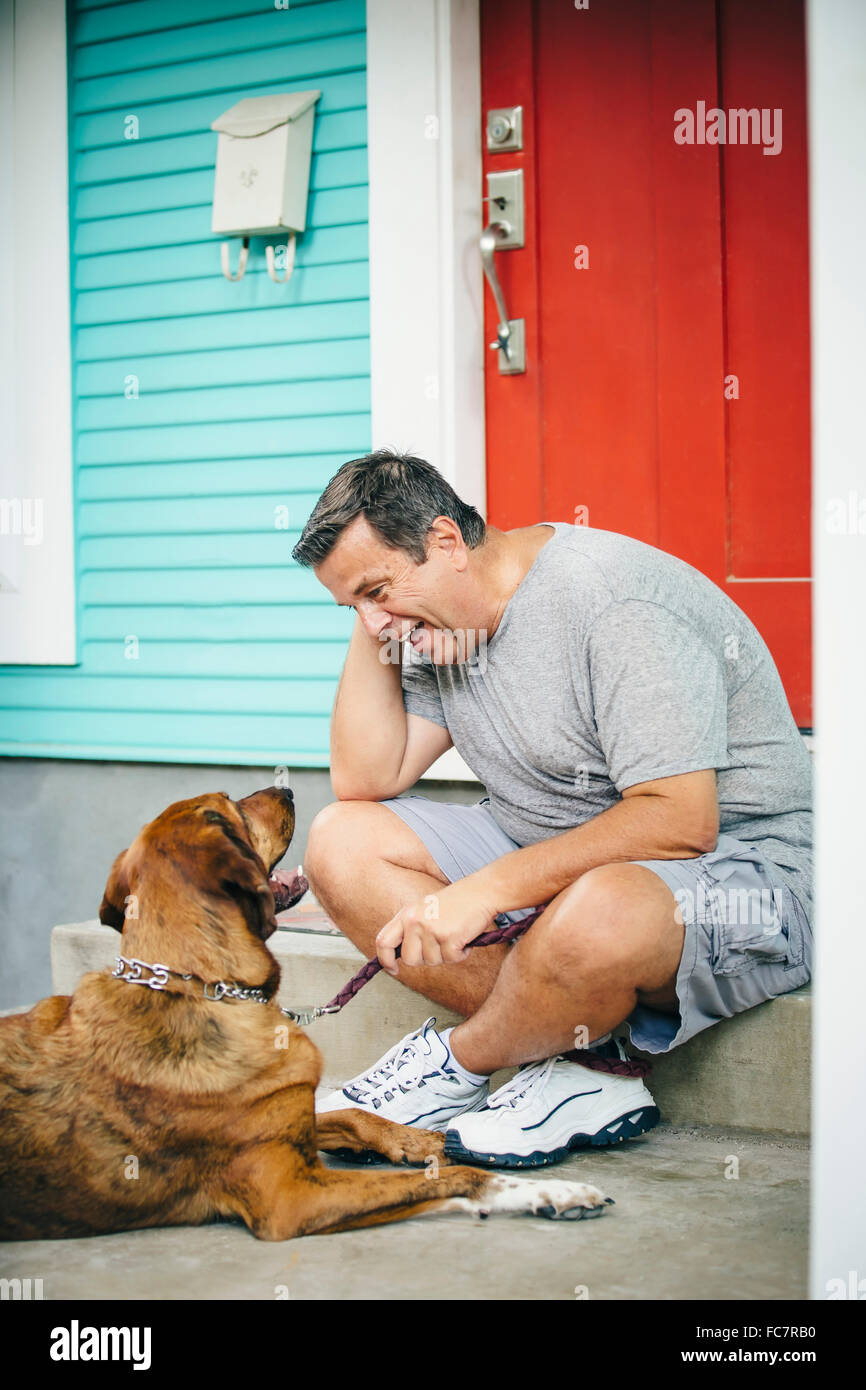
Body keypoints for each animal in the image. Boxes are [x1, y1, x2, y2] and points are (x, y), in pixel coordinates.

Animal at [0, 789, 614, 1245]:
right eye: (231, 806)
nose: (290, 788)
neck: (201, 989)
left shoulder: (292, 1125)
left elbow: (356, 1117)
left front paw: (428, 1140)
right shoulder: (292, 1198)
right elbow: (454, 1180)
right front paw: (544, 1192)